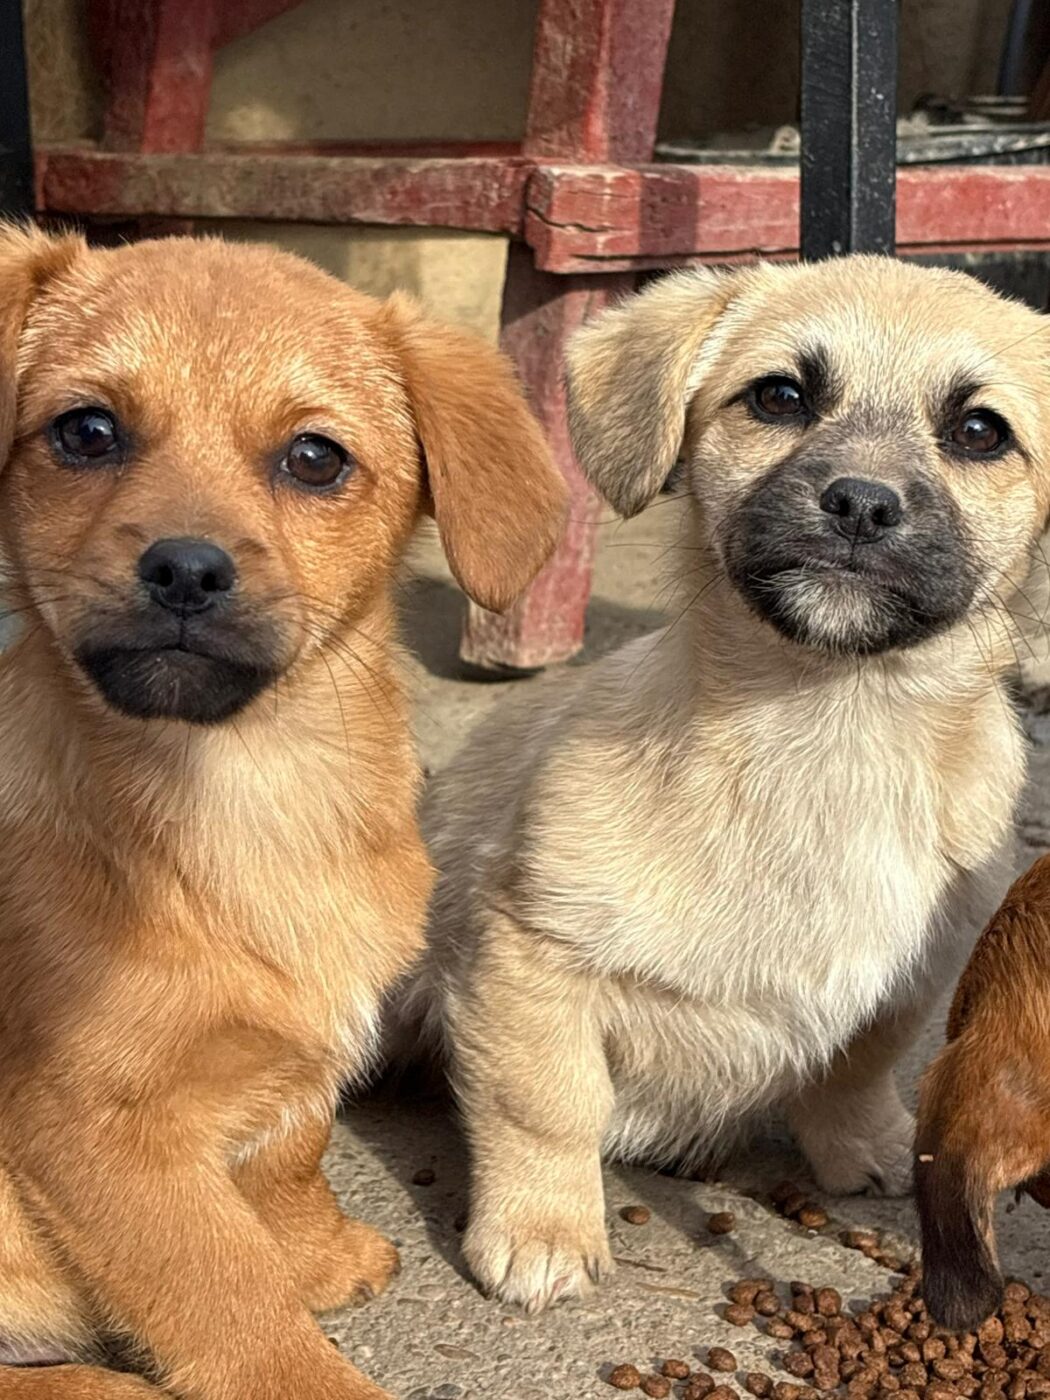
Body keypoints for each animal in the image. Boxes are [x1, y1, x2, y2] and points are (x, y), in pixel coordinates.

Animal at [0, 225, 564, 1399]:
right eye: (86, 431)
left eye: (314, 458)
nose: (184, 568)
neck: (241, 785)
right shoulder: (91, 1121)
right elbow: (229, 1298)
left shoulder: (308, 1039)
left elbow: (293, 1151)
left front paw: (317, 1253)